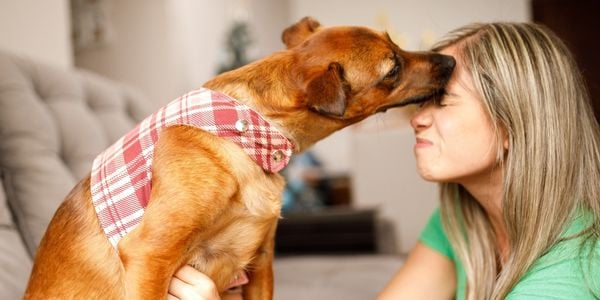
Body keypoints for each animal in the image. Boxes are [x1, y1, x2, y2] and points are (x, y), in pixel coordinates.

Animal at [24, 17, 454, 298]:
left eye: (395, 43)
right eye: (392, 69)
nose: (450, 61)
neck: (245, 130)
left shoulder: (260, 264)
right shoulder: (150, 256)